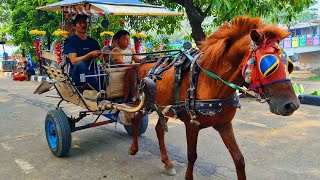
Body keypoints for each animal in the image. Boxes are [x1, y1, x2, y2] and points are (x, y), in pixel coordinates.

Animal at [125, 16, 300, 179]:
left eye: (289, 64)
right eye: (270, 65)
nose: (292, 105)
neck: (211, 82)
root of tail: (142, 62)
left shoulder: (224, 124)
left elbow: (239, 159)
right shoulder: (191, 125)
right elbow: (192, 156)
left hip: (163, 108)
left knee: (159, 129)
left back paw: (167, 163)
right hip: (143, 102)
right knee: (137, 119)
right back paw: (133, 148)